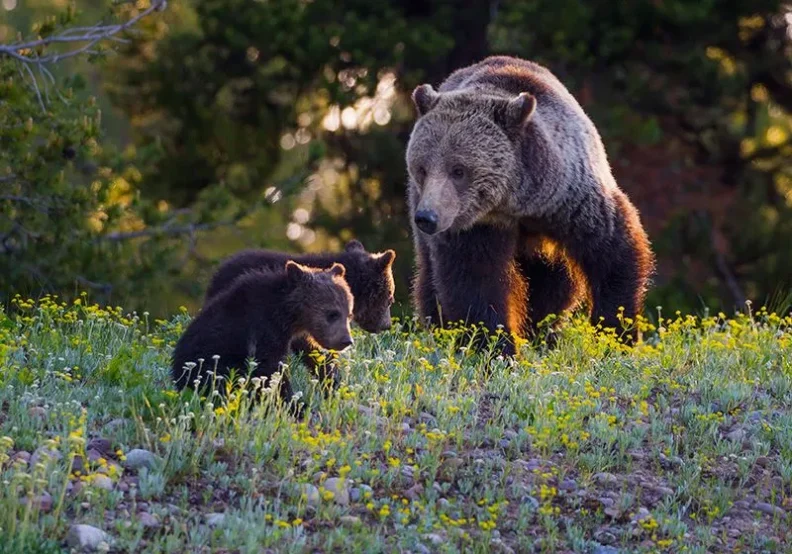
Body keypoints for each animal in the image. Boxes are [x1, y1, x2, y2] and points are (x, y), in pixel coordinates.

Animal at [172, 261, 354, 411]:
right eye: (332, 314)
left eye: (348, 314)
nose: (346, 340)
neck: (288, 315)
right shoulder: (262, 328)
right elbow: (270, 368)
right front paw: (293, 404)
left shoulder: (298, 335)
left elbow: (317, 357)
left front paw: (335, 386)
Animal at [406, 55, 654, 354]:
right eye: (422, 168)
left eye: (458, 170)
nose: (427, 217)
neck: (516, 202)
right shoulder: (476, 225)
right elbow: (475, 279)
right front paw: (494, 345)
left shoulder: (571, 200)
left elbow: (614, 252)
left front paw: (616, 336)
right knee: (430, 278)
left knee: (555, 283)